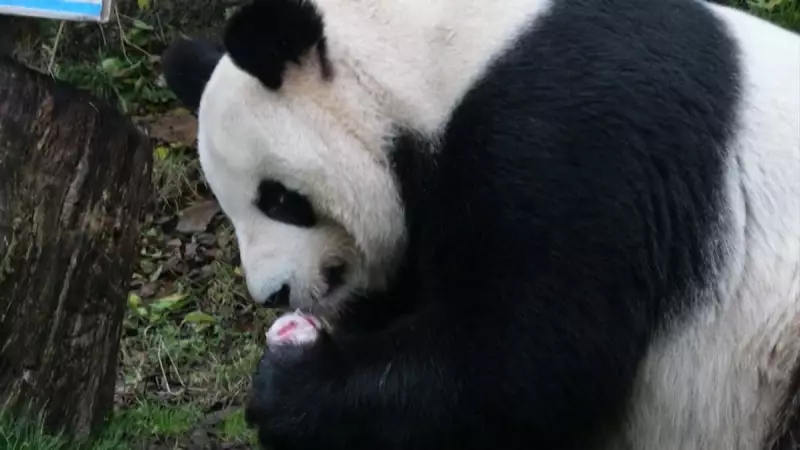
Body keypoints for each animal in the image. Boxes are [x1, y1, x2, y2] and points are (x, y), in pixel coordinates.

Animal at [161, 0, 800, 448]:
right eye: (228, 206)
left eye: (279, 199)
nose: (273, 294)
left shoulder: (574, 136)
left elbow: (529, 353)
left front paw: (287, 387)